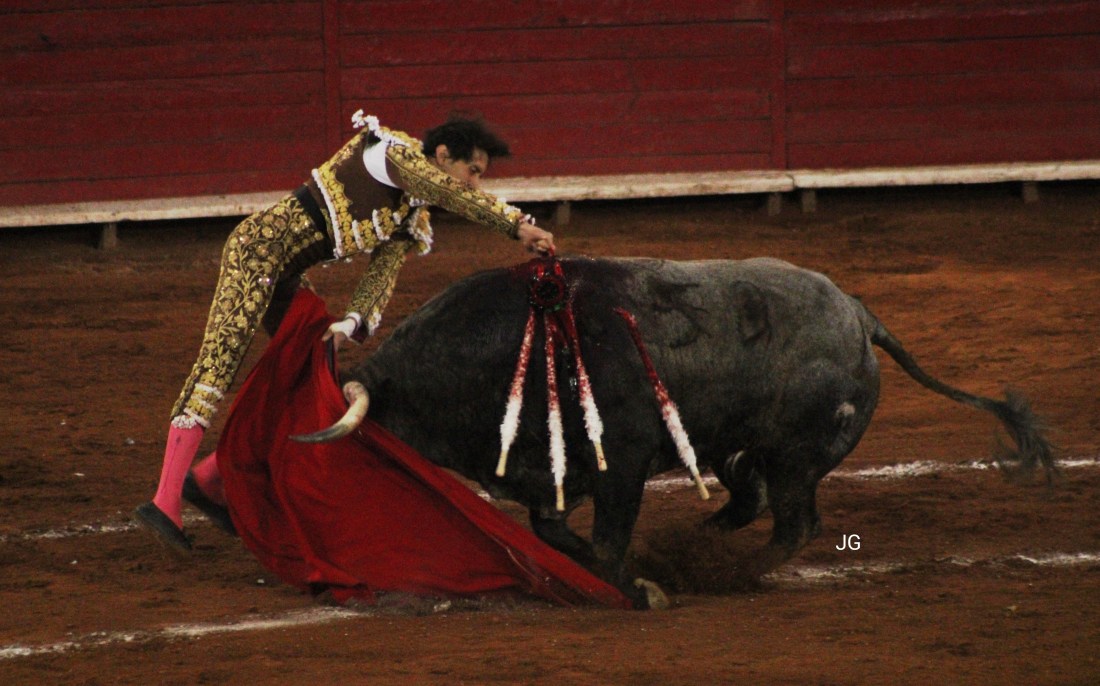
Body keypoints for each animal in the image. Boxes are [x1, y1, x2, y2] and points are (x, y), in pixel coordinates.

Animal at [301, 256, 1055, 606]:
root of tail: (861, 316)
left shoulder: (622, 461)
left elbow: (607, 541)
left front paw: (639, 589)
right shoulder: (553, 475)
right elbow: (554, 532)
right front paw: (625, 573)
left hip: (797, 457)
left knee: (793, 524)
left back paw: (725, 569)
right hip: (739, 449)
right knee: (753, 500)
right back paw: (702, 541)